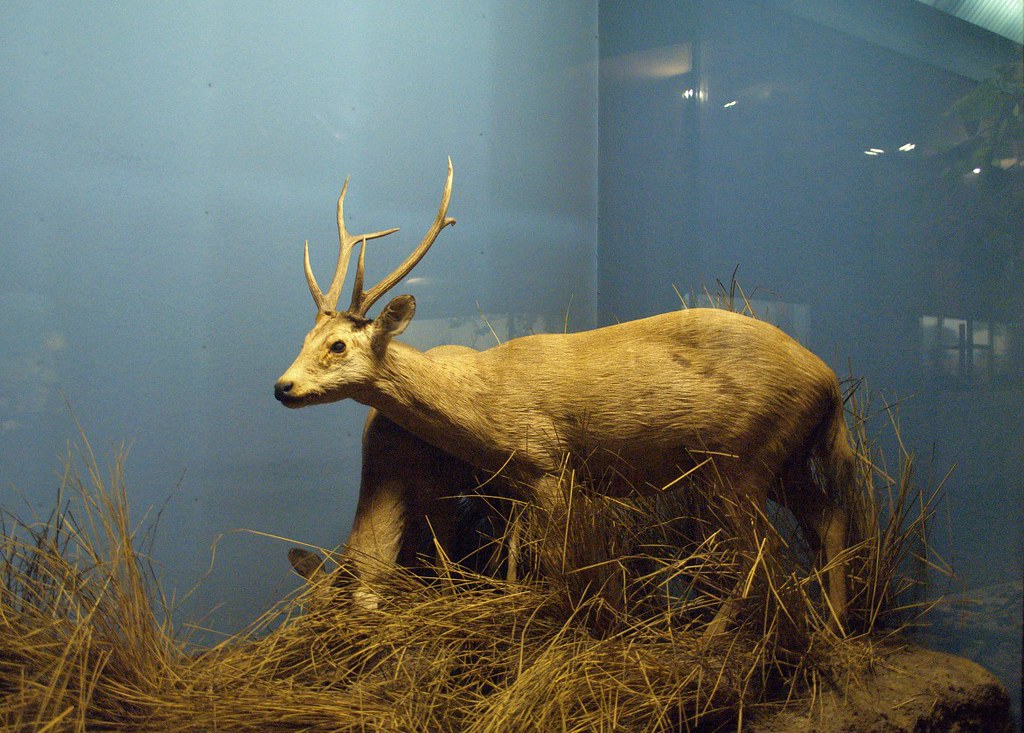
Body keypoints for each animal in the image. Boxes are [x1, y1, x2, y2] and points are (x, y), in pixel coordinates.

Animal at [275, 158, 856, 634]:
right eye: (303, 338)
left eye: (337, 344)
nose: (282, 387)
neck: (482, 400)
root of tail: (828, 382)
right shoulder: (514, 483)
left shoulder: (551, 467)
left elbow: (565, 567)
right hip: (780, 460)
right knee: (826, 518)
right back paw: (837, 629)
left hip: (738, 463)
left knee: (764, 551)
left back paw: (711, 641)